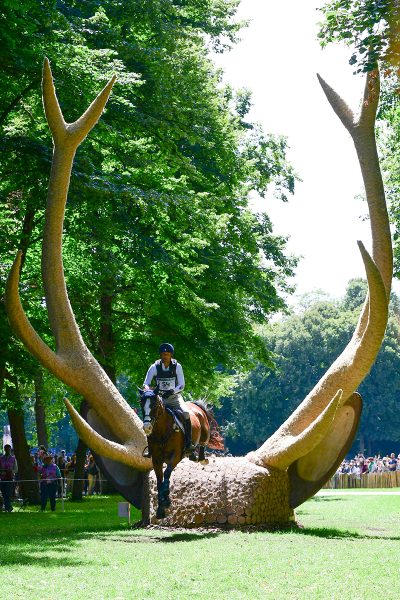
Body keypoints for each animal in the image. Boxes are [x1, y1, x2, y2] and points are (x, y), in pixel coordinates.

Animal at [139, 390, 223, 520]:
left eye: (154, 405)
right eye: (142, 404)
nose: (147, 427)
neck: (162, 431)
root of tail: (195, 404)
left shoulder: (176, 456)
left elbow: (166, 474)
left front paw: (166, 500)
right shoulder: (156, 459)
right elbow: (159, 480)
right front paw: (161, 509)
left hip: (205, 431)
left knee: (203, 442)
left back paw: (202, 458)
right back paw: (193, 456)